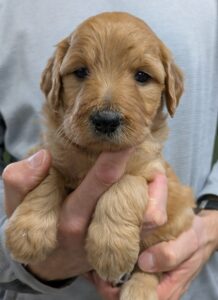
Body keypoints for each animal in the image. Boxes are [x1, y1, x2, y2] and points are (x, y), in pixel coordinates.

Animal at [5, 12, 195, 300]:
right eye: (81, 71)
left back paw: (139, 290)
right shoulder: (46, 148)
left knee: (151, 268)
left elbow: (125, 185)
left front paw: (111, 248)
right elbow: (48, 175)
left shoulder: (150, 169)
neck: (95, 154)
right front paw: (27, 233)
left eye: (142, 76)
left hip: (175, 221)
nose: (106, 120)